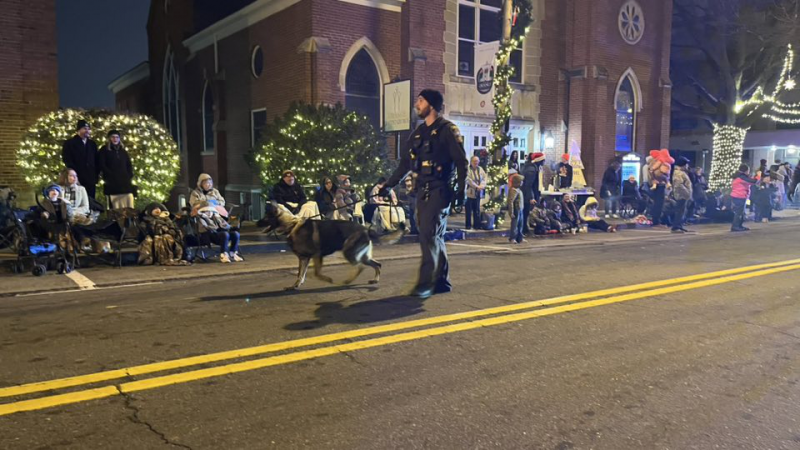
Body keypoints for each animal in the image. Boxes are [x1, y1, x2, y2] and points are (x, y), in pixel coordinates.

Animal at [259, 202, 404, 290]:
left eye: (266, 217)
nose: (257, 223)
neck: (292, 224)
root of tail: (365, 229)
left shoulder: (316, 255)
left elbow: (316, 273)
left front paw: (327, 279)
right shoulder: (303, 258)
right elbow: (300, 274)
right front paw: (295, 285)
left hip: (349, 252)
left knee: (360, 267)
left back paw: (348, 281)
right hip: (362, 256)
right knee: (377, 264)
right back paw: (374, 280)